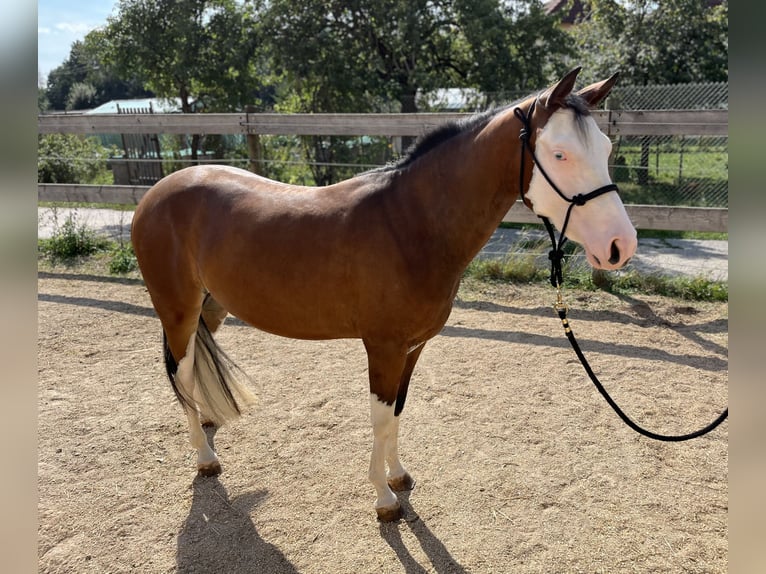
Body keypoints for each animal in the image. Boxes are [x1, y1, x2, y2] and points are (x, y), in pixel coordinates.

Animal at [135, 67, 640, 520]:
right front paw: (384, 499)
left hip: (212, 308)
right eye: (559, 154)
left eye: (606, 148)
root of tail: (157, 192)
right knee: (181, 373)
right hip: (178, 311)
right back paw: (205, 458)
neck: (410, 224)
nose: (621, 246)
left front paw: (399, 477)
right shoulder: (384, 348)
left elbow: (397, 410)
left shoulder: (412, 349)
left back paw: (207, 421)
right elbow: (380, 417)